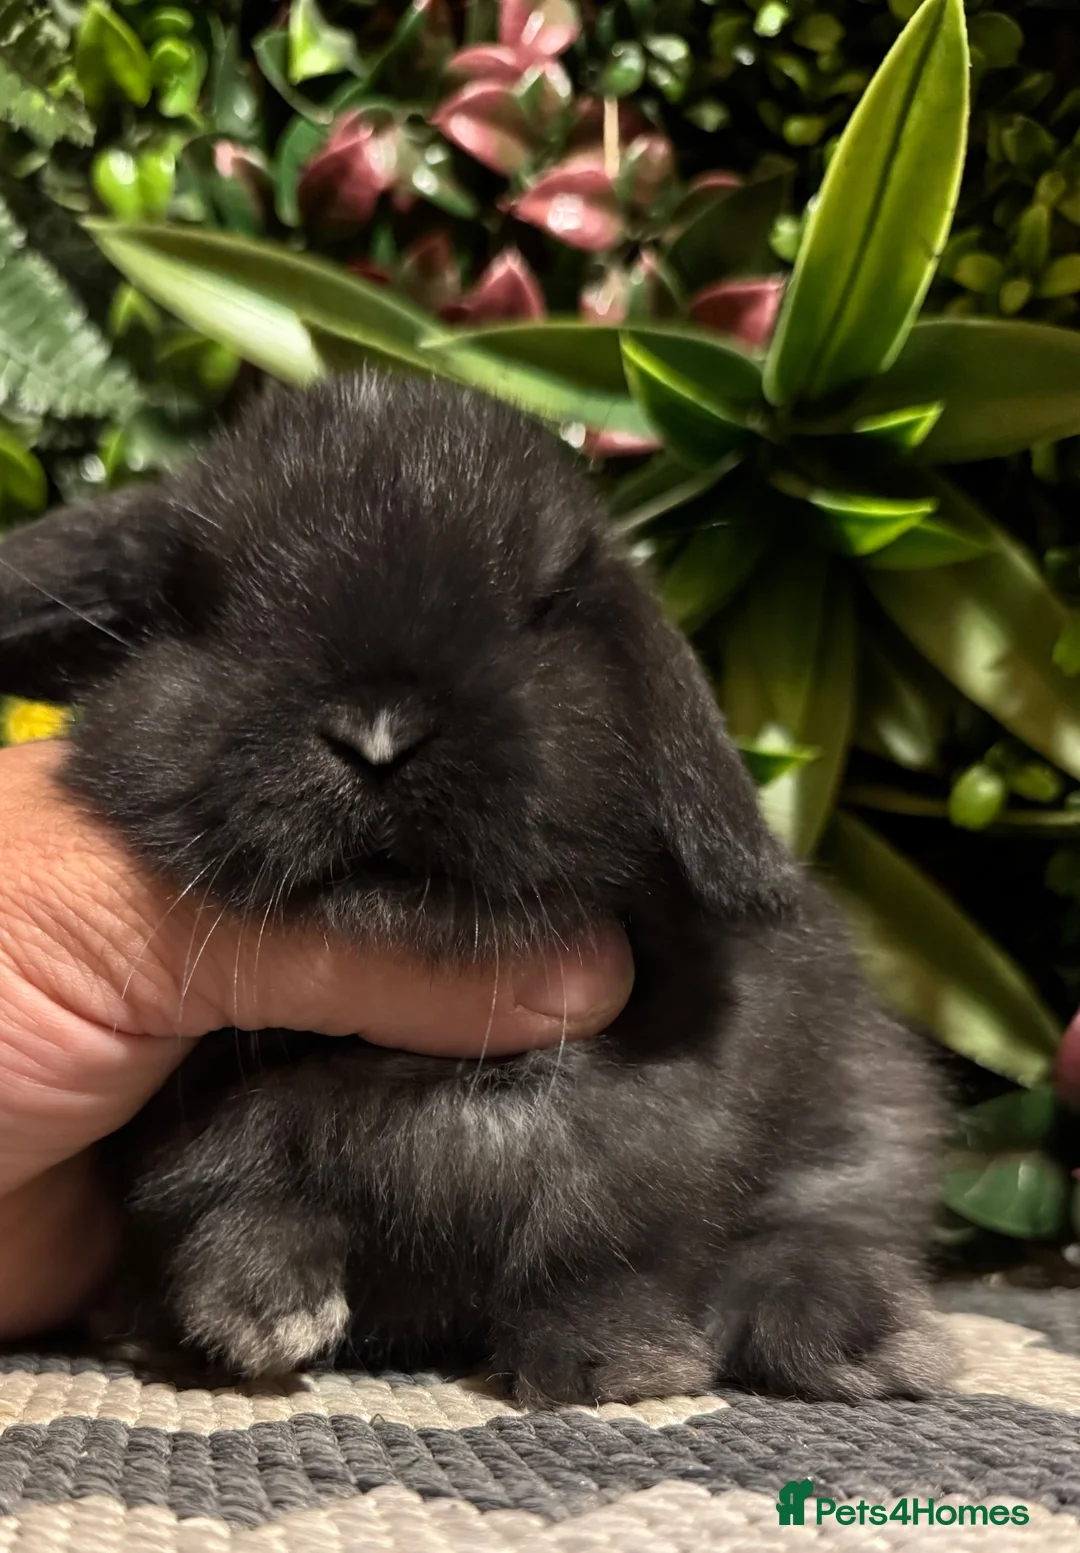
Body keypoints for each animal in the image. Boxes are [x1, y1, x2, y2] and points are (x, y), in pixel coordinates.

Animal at [0, 371, 950, 1406]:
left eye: (542, 607)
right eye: (201, 606)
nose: (377, 733)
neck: (414, 1076)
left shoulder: (650, 1155)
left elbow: (596, 1254)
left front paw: (613, 1362)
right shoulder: (203, 1148)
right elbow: (241, 1203)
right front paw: (257, 1315)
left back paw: (851, 1334)